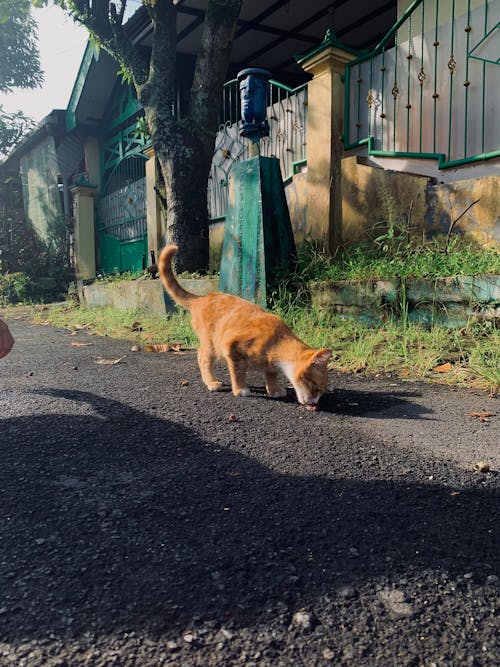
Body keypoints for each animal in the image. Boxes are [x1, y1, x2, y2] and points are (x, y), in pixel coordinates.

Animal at [159, 243, 332, 404]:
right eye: (316, 388)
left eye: (321, 392)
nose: (314, 403)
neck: (276, 341)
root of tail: (202, 298)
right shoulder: (232, 348)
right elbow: (238, 373)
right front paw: (241, 389)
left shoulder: (270, 367)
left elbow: (271, 375)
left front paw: (274, 389)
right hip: (211, 344)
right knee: (202, 357)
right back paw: (211, 382)